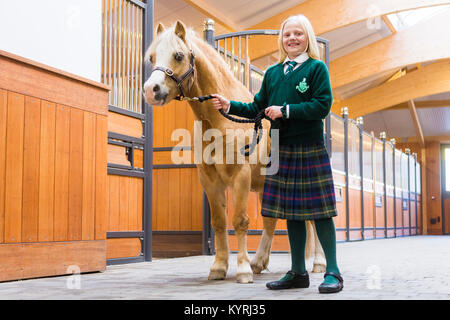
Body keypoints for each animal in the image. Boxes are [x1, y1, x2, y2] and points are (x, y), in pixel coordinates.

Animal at [143, 21, 324, 282]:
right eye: (152, 57)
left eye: (178, 55)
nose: (151, 90)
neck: (219, 122)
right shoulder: (209, 179)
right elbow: (219, 222)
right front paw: (219, 267)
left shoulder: (241, 176)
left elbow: (240, 221)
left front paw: (243, 270)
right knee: (270, 222)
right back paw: (260, 262)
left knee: (312, 219)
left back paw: (318, 263)